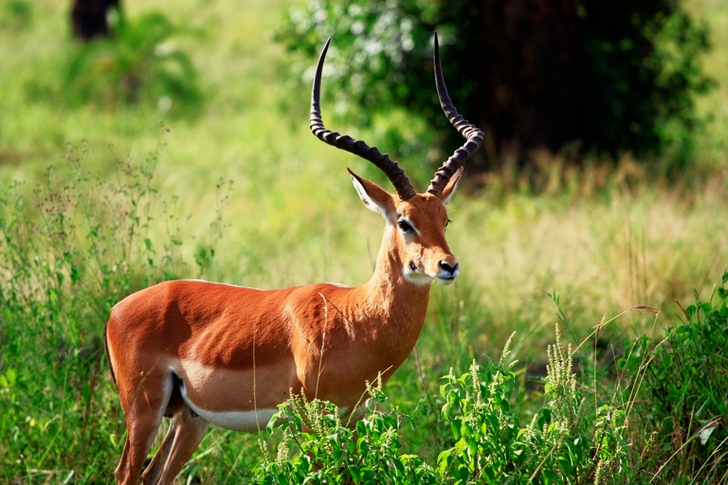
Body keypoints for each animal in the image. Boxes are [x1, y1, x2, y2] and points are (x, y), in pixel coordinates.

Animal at [105, 34, 483, 484]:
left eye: (445, 218)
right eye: (405, 222)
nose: (448, 266)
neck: (355, 317)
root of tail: (116, 309)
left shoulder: (352, 415)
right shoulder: (311, 418)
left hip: (190, 418)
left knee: (154, 474)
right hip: (143, 411)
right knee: (126, 473)